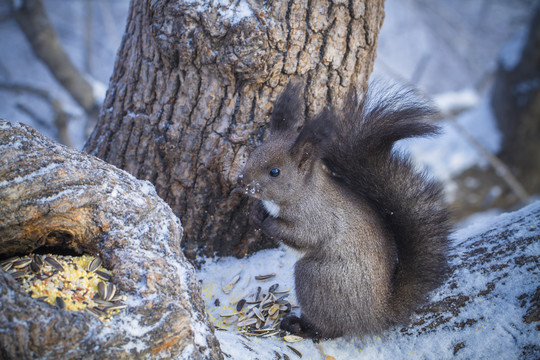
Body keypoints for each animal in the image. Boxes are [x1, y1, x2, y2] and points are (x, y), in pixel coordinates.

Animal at [238, 83, 450, 338]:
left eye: (275, 172)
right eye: (252, 155)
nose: (242, 181)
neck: (301, 194)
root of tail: (376, 315)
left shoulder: (318, 218)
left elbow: (303, 235)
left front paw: (268, 223)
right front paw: (256, 215)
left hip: (316, 278)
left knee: (329, 329)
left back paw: (299, 326)